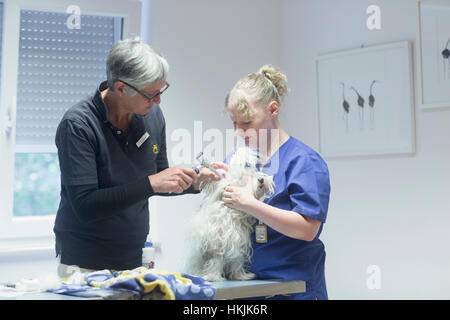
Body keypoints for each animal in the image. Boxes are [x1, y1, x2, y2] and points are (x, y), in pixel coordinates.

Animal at [183, 148, 274, 280]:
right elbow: (216, 260)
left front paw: (241, 276)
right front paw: (212, 276)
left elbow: (237, 260)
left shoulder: (238, 243)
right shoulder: (217, 243)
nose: (261, 180)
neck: (233, 213)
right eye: (243, 179)